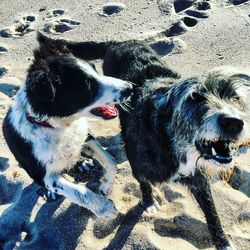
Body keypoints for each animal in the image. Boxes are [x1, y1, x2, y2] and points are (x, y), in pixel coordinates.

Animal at [1, 34, 133, 218]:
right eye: (88, 86)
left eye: (94, 68)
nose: (130, 88)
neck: (60, 126)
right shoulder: (47, 176)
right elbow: (79, 192)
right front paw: (104, 208)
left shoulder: (86, 136)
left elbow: (111, 161)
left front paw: (105, 186)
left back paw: (82, 163)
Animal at [66, 39, 250, 248]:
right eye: (194, 98)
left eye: (234, 97)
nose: (234, 122)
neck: (170, 142)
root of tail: (121, 42)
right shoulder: (137, 163)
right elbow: (143, 182)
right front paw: (148, 202)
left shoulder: (198, 178)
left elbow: (212, 211)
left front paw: (223, 241)